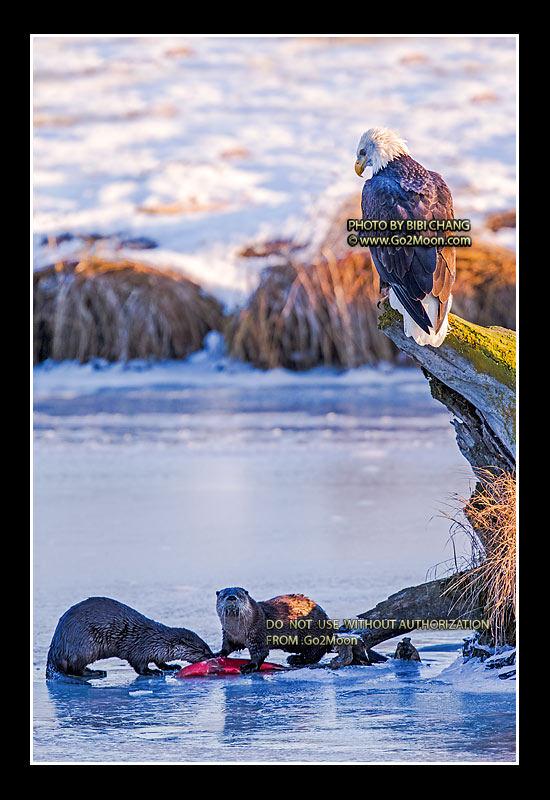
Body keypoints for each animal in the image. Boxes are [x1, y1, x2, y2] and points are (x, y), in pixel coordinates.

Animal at [46, 597, 214, 680]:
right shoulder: (141, 650)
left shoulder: (156, 652)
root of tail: (55, 648)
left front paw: (170, 667)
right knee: (76, 669)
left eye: (208, 646)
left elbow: (160, 662)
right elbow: (139, 667)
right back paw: (96, 672)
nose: (213, 656)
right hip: (85, 647)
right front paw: (152, 672)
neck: (156, 640)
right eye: (202, 650)